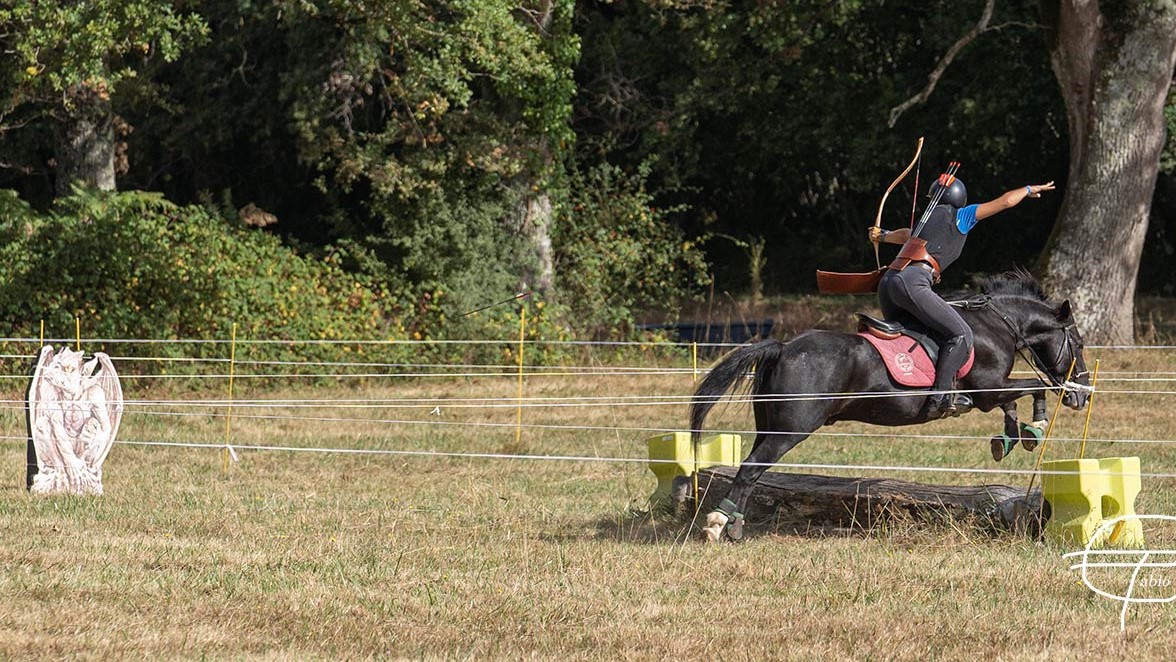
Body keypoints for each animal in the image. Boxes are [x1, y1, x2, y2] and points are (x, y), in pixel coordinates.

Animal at [689, 271, 1092, 542]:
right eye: (1079, 342)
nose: (1084, 393)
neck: (997, 325)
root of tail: (784, 347)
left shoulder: (992, 393)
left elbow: (1016, 401)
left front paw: (1011, 437)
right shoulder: (987, 391)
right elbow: (1037, 388)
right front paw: (1036, 427)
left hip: (770, 426)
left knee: (752, 469)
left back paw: (736, 524)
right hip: (791, 430)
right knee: (751, 468)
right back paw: (717, 524)